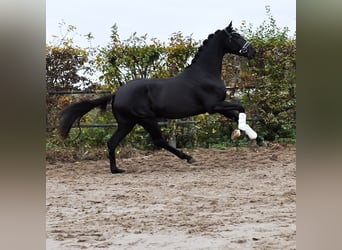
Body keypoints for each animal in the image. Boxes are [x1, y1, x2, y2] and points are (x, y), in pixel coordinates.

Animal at [59, 22, 264, 174]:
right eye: (236, 36)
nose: (253, 51)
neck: (205, 74)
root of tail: (117, 93)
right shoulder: (213, 106)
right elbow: (241, 107)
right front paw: (243, 134)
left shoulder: (218, 107)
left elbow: (236, 114)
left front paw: (257, 139)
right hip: (146, 119)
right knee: (158, 141)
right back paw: (189, 158)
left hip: (128, 122)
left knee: (112, 142)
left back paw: (116, 170)